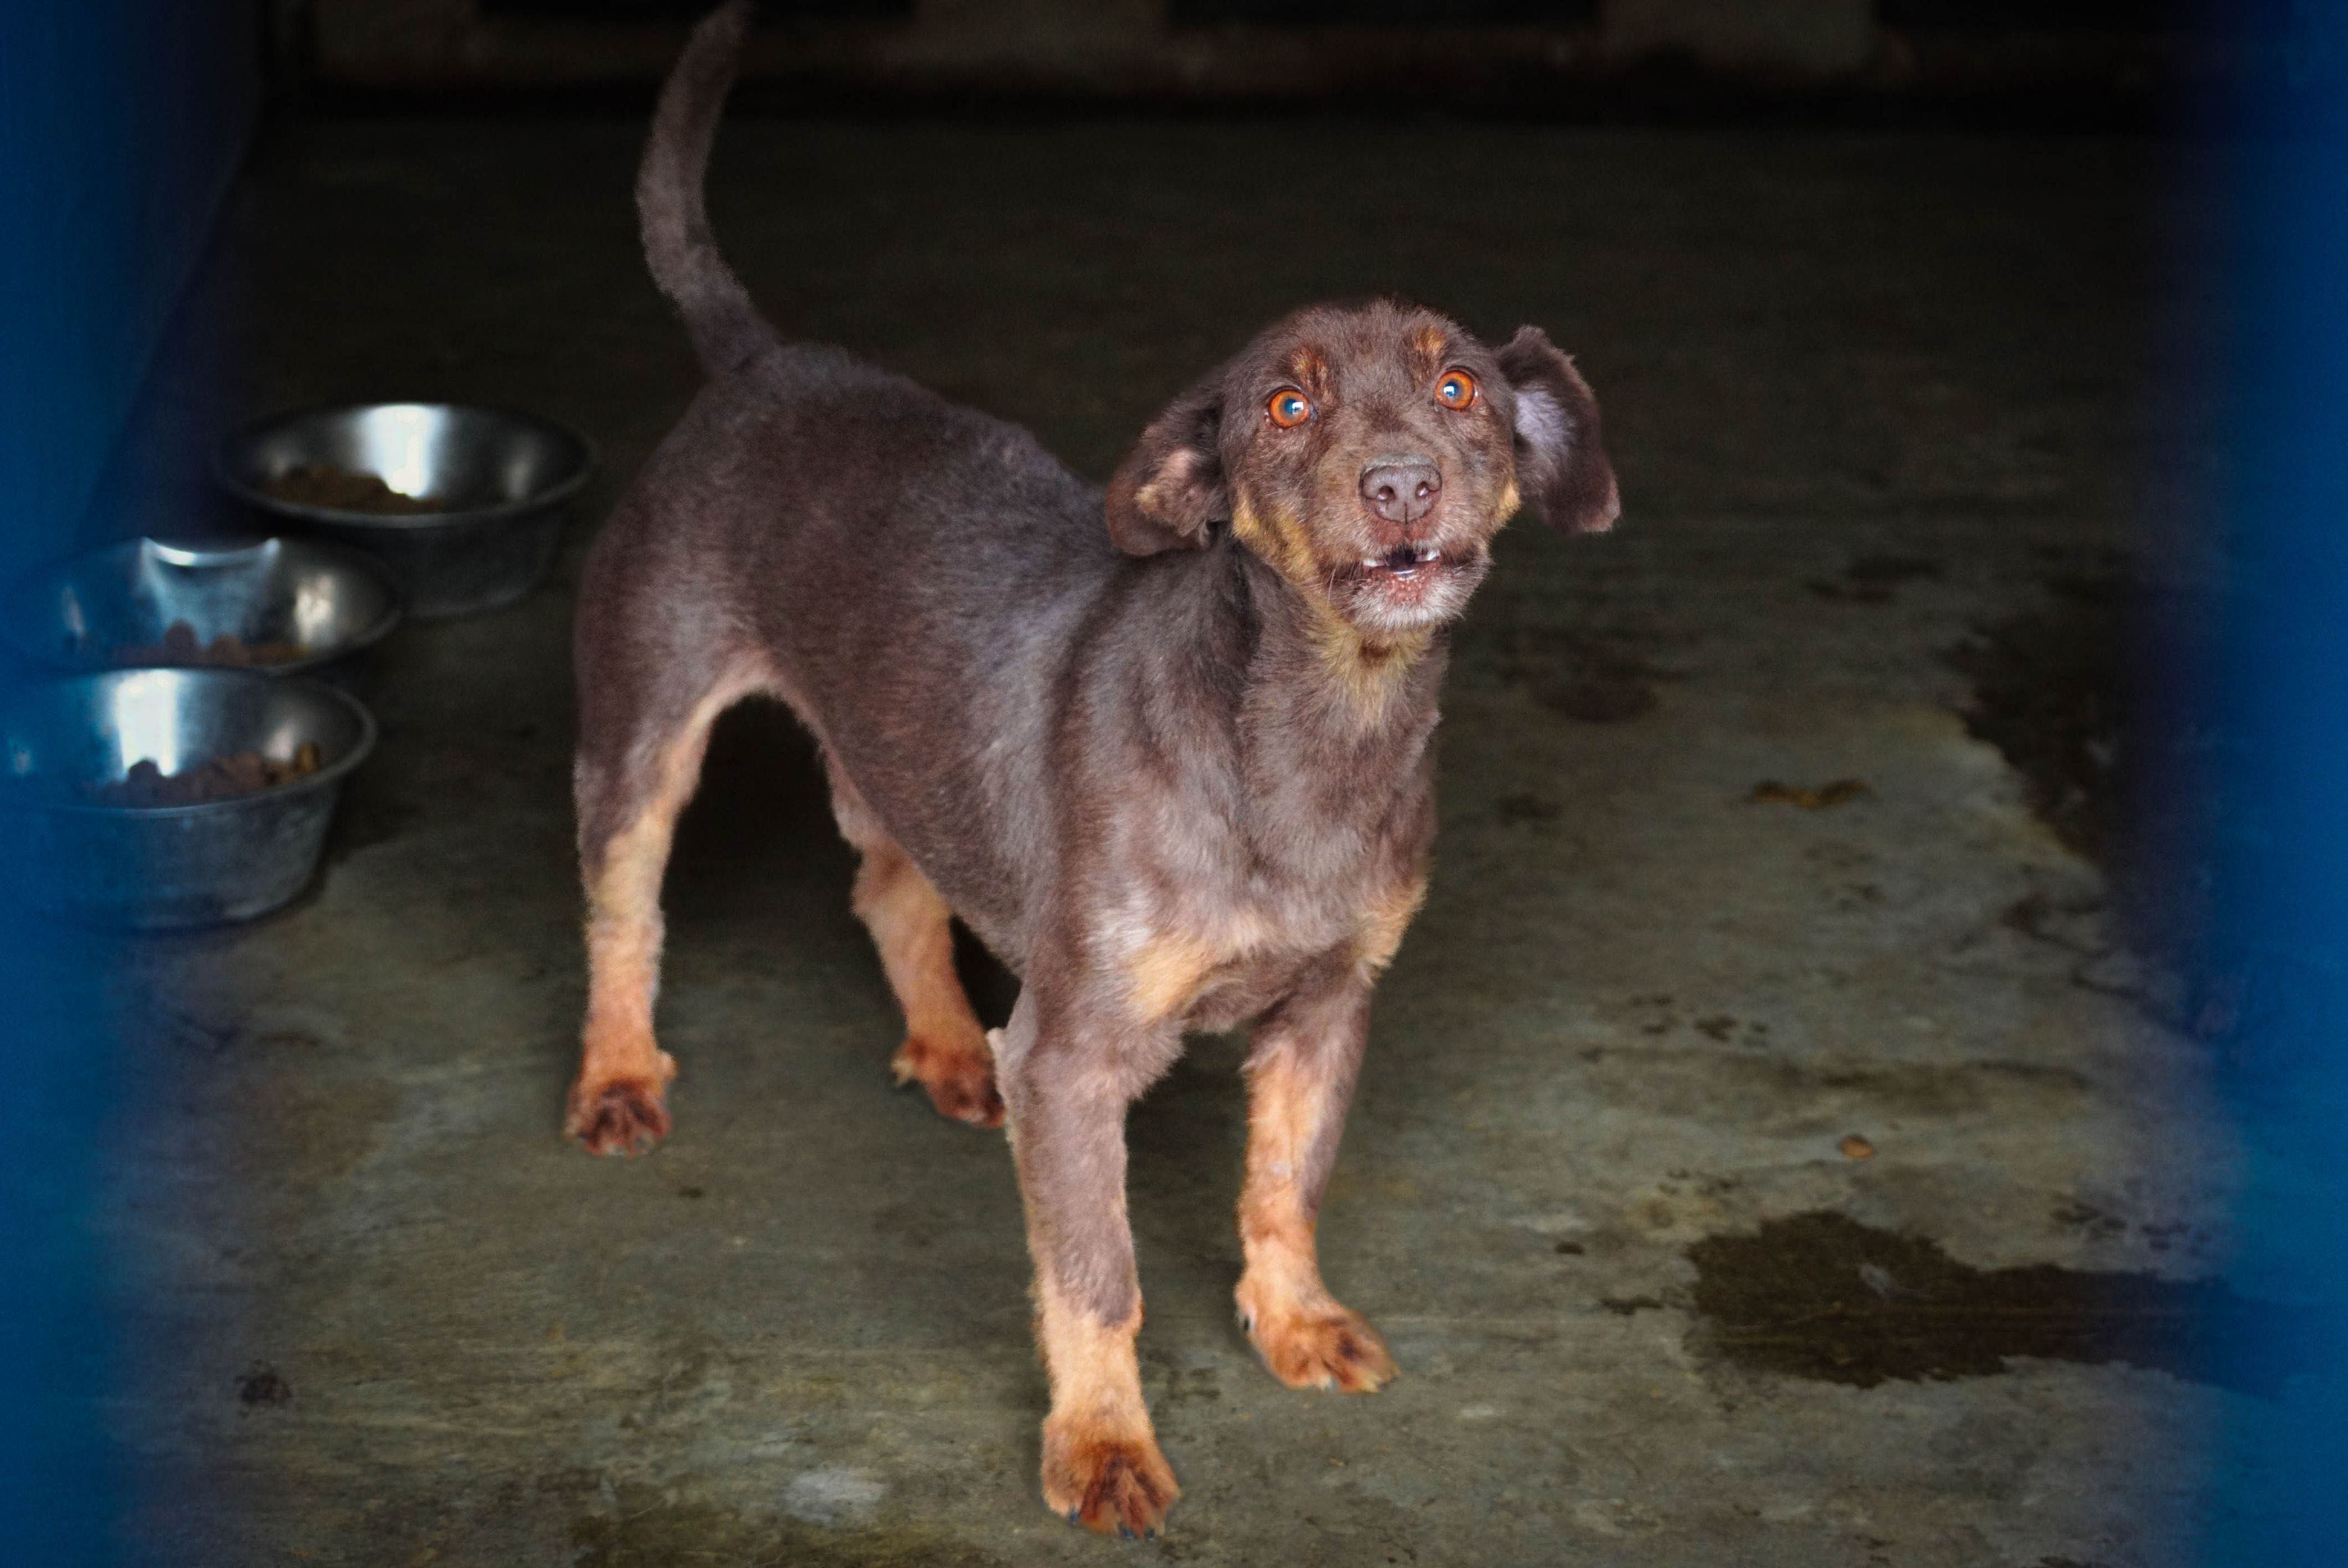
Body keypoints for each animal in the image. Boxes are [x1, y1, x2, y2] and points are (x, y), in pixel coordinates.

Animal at [568, 6, 1615, 1539]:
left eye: (1459, 386)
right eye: (1284, 405)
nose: (1402, 486)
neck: (1303, 734)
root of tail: (766, 362)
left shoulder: (1328, 1014)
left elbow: (1286, 1187)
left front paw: (1290, 1320)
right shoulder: (1073, 1063)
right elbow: (1095, 1276)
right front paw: (1105, 1443)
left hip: (907, 759)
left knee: (890, 889)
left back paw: (952, 1046)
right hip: (642, 736)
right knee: (625, 911)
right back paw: (619, 1071)